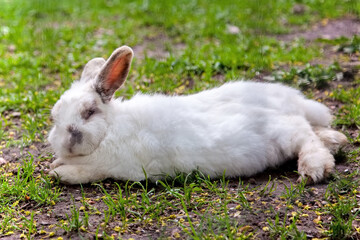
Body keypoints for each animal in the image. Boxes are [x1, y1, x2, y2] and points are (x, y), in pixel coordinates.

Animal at [48, 45, 348, 184]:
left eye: (89, 112)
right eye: (54, 117)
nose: (67, 141)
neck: (110, 129)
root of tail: (291, 101)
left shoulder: (112, 166)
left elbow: (83, 172)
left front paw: (58, 171)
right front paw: (56, 163)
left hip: (284, 131)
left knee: (306, 136)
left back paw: (314, 168)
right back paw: (337, 141)